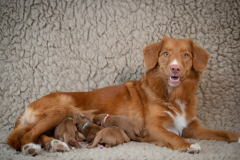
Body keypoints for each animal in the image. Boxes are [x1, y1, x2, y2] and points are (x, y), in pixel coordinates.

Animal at [6, 36, 240, 155]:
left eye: (186, 55)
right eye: (165, 54)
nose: (175, 69)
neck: (172, 94)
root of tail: (27, 108)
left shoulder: (192, 127)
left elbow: (222, 132)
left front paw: (236, 136)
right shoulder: (153, 127)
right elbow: (173, 136)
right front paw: (188, 145)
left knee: (39, 135)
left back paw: (54, 144)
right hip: (60, 108)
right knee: (26, 137)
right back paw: (34, 147)